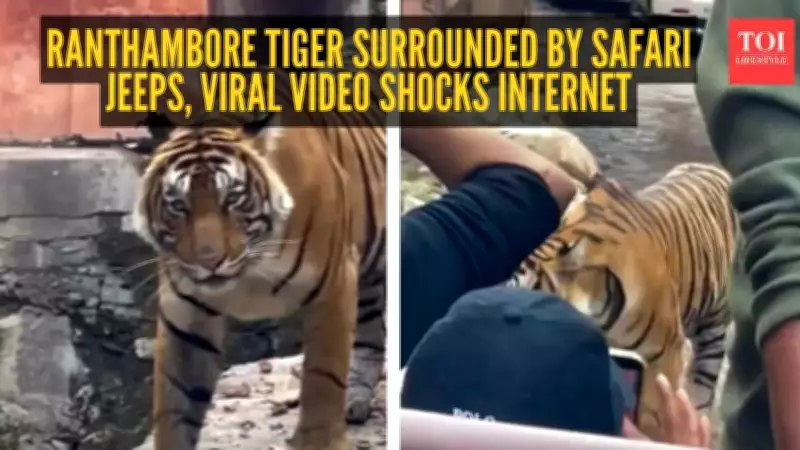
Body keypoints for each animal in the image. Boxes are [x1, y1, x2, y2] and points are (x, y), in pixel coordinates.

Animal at [126, 106, 385, 450]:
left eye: (232, 198)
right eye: (178, 205)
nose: (209, 261)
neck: (249, 273)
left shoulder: (334, 283)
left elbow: (323, 376)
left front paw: (320, 441)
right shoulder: (186, 315)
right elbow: (175, 404)